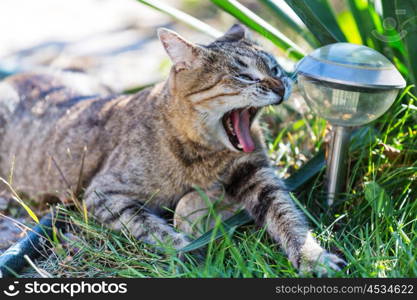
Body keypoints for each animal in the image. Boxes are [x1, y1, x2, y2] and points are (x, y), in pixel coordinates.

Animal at [0, 24, 344, 274]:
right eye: (245, 76)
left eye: (275, 69)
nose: (282, 85)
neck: (203, 152)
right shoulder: (103, 194)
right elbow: (156, 228)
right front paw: (188, 250)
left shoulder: (258, 176)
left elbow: (288, 217)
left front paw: (313, 257)